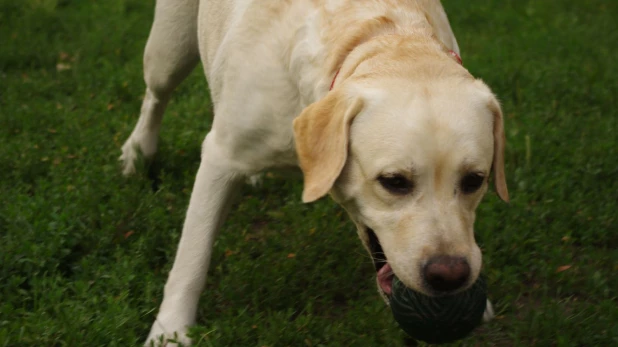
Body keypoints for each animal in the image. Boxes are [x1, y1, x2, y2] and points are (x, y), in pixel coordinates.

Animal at [119, 0, 506, 346]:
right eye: (394, 182)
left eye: (474, 181)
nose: (449, 276)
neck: (382, 37)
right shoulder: (220, 158)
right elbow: (193, 254)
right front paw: (170, 331)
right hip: (170, 48)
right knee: (155, 95)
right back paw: (137, 152)